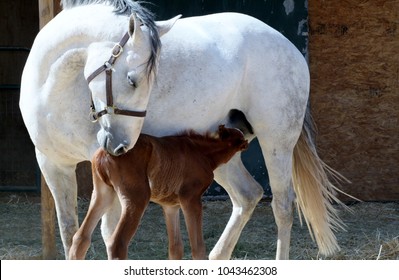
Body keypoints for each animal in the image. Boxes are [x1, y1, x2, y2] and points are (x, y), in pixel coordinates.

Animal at [19, 0, 344, 260]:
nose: (121, 146)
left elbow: (108, 234)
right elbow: (69, 232)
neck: (56, 87)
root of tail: (287, 46)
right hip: (224, 151)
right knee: (248, 195)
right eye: (134, 79)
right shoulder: (52, 165)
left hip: (276, 142)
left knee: (283, 205)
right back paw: (216, 258)